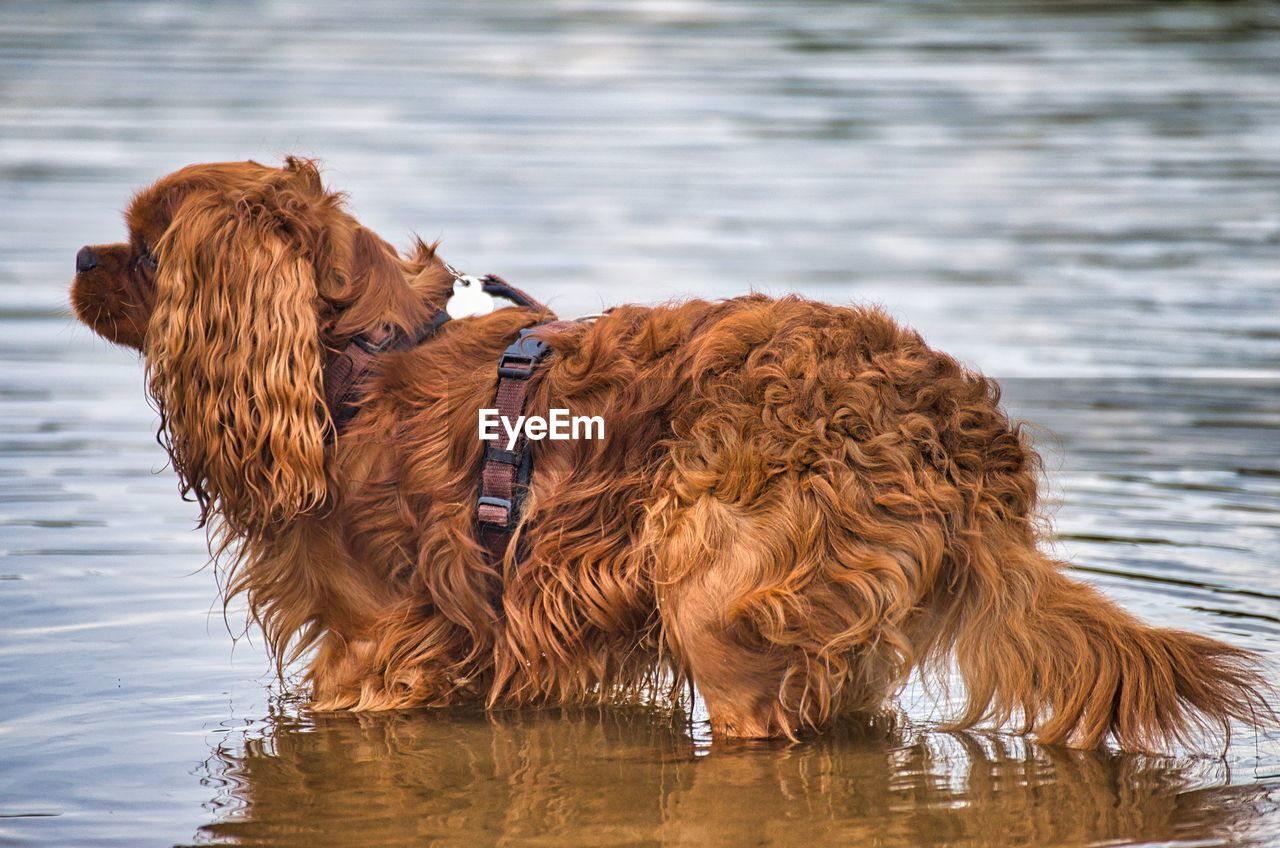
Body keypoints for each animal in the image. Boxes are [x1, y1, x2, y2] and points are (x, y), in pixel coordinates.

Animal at [70, 159, 1269, 753]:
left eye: (143, 252)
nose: (78, 254)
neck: (361, 353)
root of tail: (950, 422)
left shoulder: (371, 647)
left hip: (723, 611)